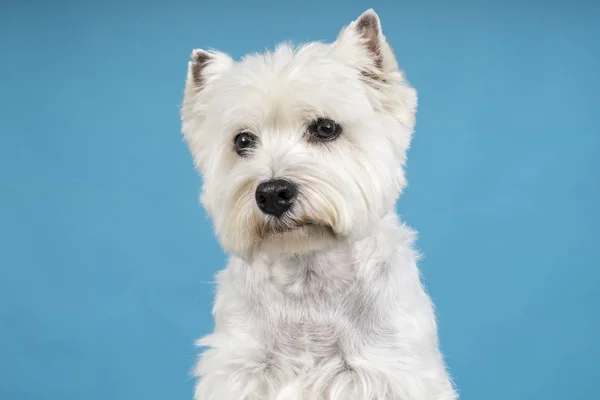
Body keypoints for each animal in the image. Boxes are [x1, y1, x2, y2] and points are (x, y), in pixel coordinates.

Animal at [180, 9, 458, 400]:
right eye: (242, 141)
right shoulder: (240, 370)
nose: (272, 194)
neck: (308, 282)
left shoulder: (391, 371)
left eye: (326, 128)